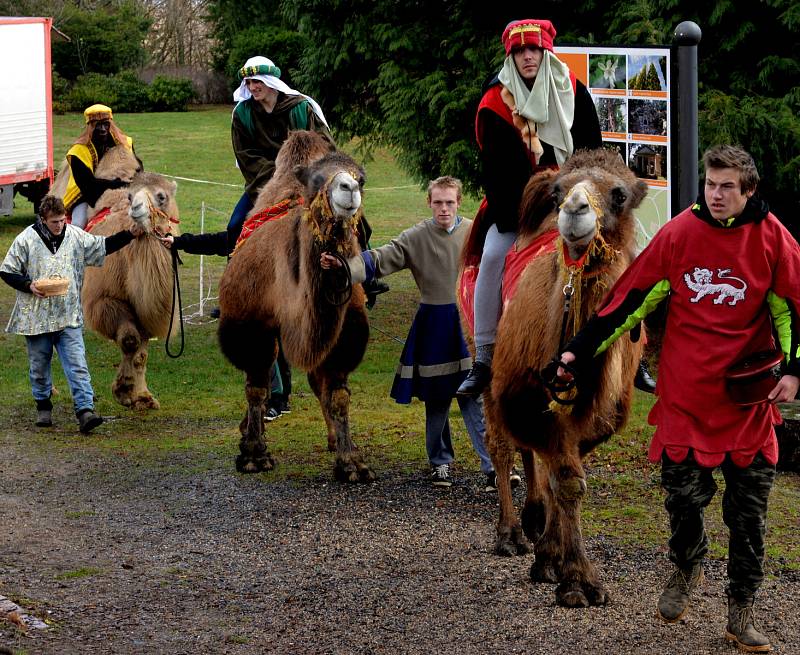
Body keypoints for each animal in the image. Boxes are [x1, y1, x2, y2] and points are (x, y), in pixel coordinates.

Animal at [81, 162, 181, 410]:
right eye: (130, 196)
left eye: (161, 196)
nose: (135, 208)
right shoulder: (104, 301)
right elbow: (129, 341)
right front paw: (125, 392)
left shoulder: (144, 311)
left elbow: (141, 353)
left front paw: (142, 396)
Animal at [217, 132, 376, 482]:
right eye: (317, 179)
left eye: (362, 178)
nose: (349, 188)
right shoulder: (251, 326)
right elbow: (256, 388)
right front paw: (254, 455)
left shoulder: (345, 332)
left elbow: (337, 393)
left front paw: (351, 461)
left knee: (318, 383)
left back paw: (331, 438)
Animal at [466, 150, 648, 608]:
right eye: (557, 192)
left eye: (619, 194)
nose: (574, 209)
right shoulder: (525, 396)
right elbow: (563, 478)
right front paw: (577, 580)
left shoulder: (596, 414)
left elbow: (564, 476)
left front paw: (551, 558)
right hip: (485, 361)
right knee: (500, 445)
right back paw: (511, 533)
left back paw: (533, 519)